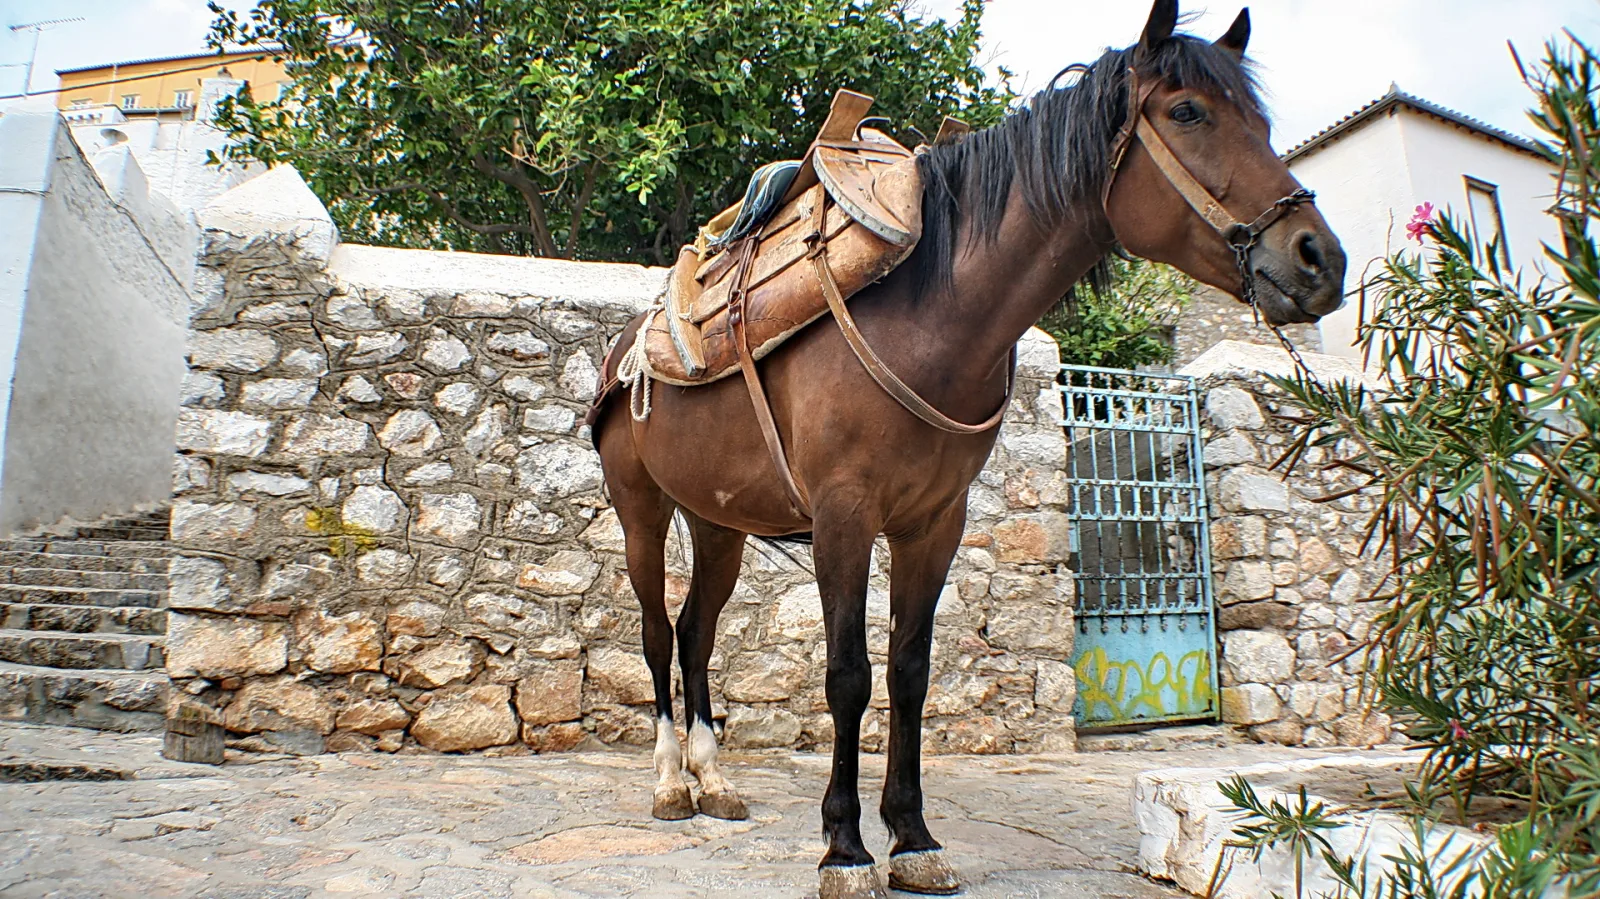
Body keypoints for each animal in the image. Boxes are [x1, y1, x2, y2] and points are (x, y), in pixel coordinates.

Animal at [589, 2, 1347, 896]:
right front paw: (844, 846)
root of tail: (627, 346)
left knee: (697, 630)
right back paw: (672, 782)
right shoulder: (844, 518)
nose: (1319, 257)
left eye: (1261, 123)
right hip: (642, 510)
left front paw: (912, 836)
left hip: (719, 523)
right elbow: (849, 674)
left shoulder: (933, 524)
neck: (931, 317)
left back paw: (714, 777)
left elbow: (911, 673)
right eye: (1189, 111)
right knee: (654, 630)